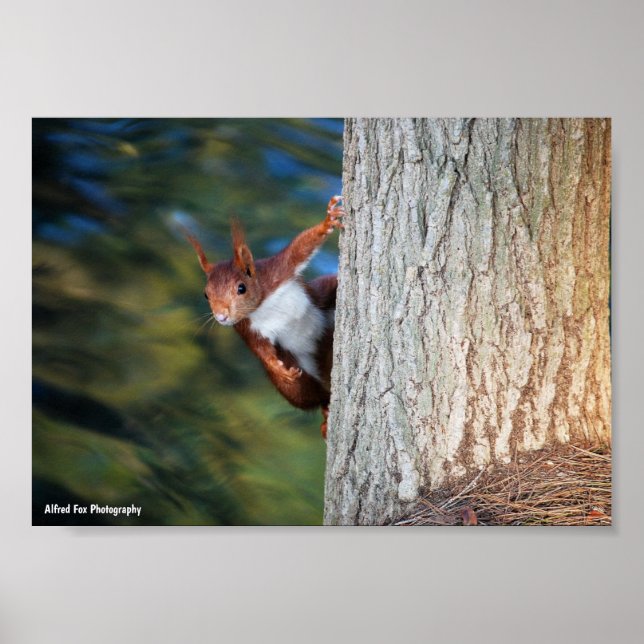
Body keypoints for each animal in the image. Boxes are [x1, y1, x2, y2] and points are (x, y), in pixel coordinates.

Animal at [187, 195, 345, 439]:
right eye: (206, 294)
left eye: (241, 288)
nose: (221, 317)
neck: (262, 305)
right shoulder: (248, 328)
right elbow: (261, 349)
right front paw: (278, 368)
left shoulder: (279, 270)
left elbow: (301, 246)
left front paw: (328, 221)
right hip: (297, 385)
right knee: (316, 398)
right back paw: (325, 413)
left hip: (322, 296)